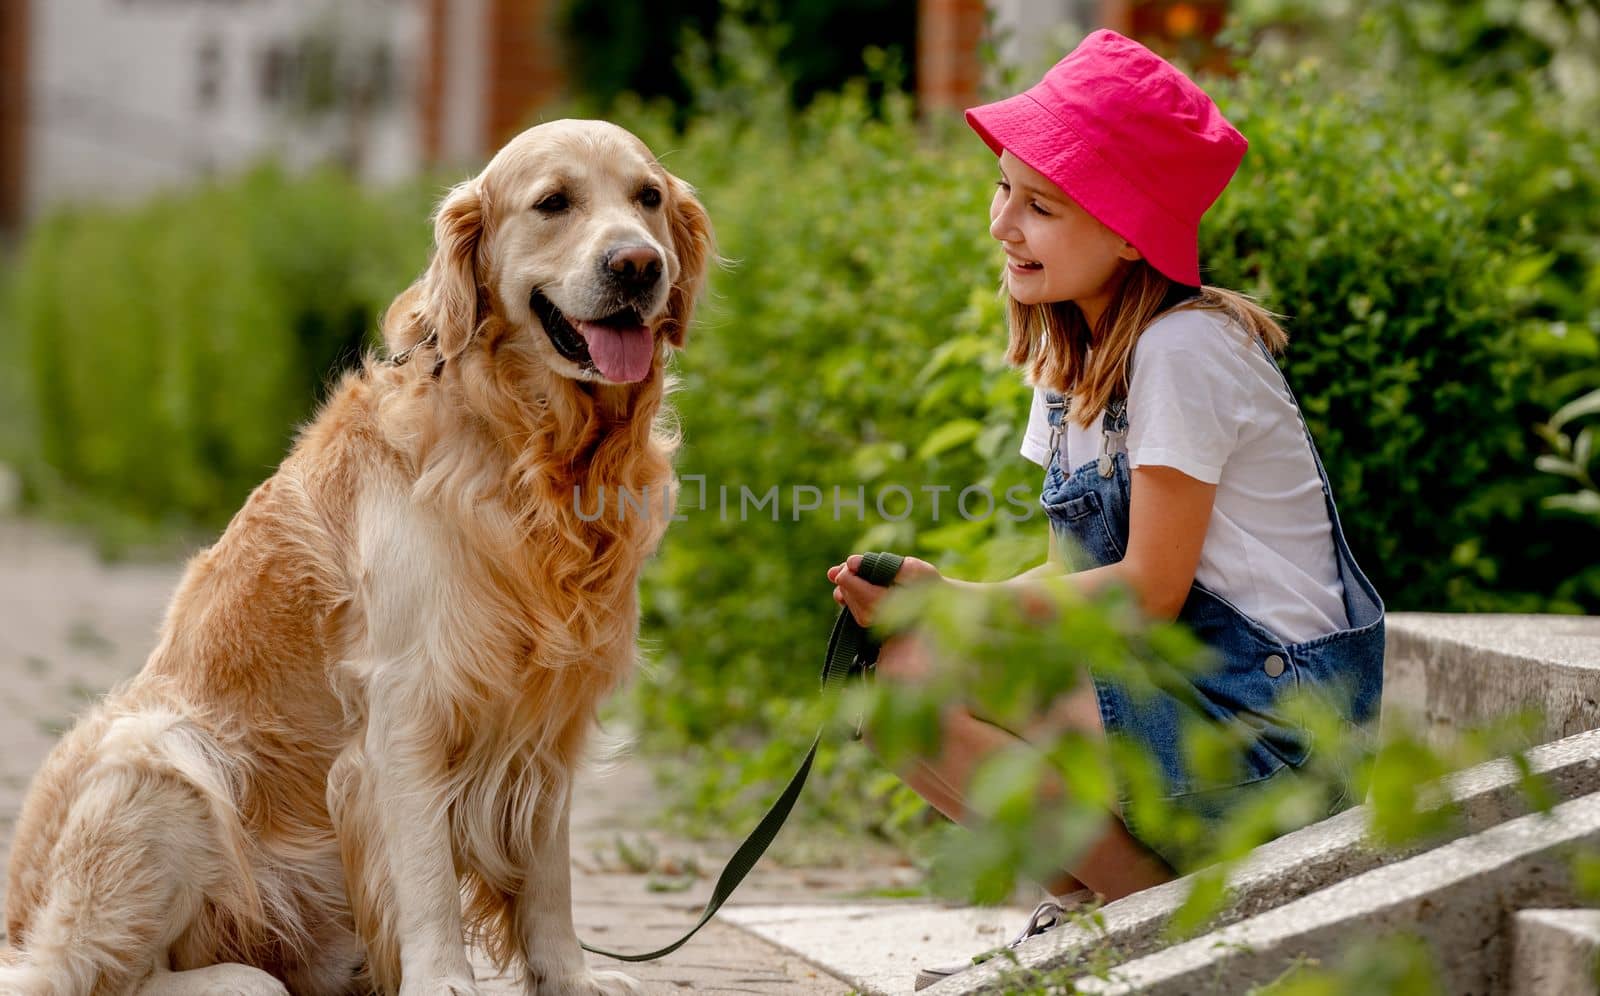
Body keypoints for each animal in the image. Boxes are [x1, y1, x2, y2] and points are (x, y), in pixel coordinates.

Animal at [0, 119, 713, 996]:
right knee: (77, 973)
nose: (638, 264)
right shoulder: (407, 704)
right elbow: (428, 872)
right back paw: (242, 980)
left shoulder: (548, 716)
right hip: (163, 755)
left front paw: (570, 978)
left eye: (647, 198)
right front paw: (444, 980)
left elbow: (549, 881)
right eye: (554, 202)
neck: (530, 447)